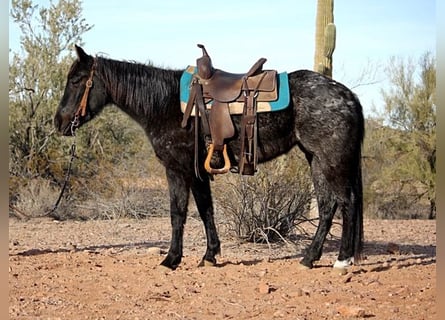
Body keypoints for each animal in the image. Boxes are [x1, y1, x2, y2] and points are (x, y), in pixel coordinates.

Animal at [53, 45, 364, 270]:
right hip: (316, 159)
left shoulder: (177, 169)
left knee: (345, 203)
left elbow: (178, 213)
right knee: (327, 206)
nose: (59, 122)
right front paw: (210, 255)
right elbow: (205, 210)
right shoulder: (198, 172)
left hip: (331, 160)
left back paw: (342, 260)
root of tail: (347, 95)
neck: (164, 104)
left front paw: (171, 260)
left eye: (76, 80)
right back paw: (310, 258)